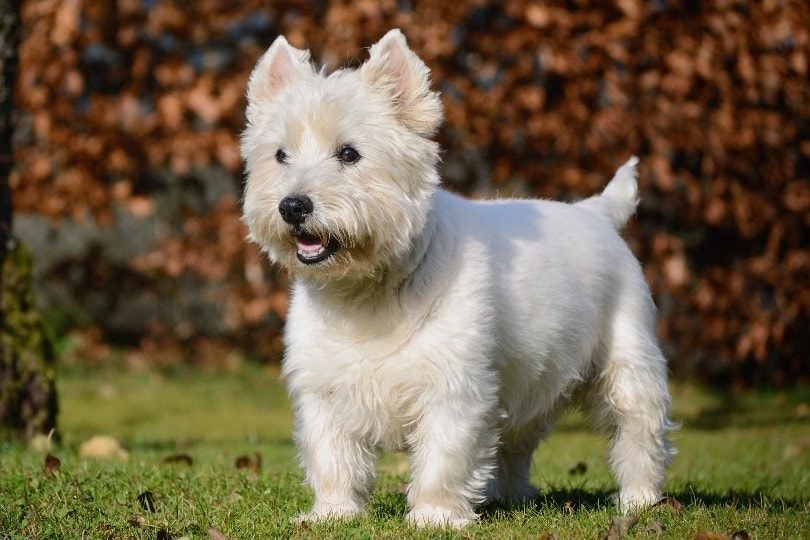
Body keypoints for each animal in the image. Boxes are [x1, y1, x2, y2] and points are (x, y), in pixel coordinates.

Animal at [238, 29, 676, 528]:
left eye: (349, 153)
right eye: (280, 155)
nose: (293, 206)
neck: (366, 292)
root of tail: (596, 213)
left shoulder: (455, 385)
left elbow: (443, 456)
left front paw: (434, 516)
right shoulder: (323, 389)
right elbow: (332, 455)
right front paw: (332, 514)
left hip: (627, 357)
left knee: (638, 429)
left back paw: (638, 500)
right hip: (531, 377)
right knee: (517, 440)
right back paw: (511, 496)